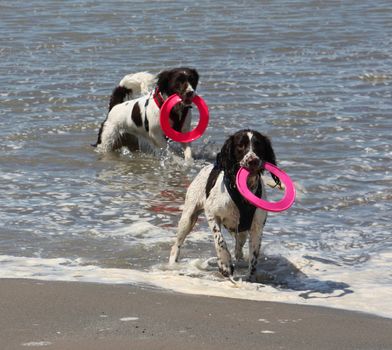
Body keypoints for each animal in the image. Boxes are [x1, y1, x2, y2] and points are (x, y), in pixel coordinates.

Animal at [170, 130, 280, 280]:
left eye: (259, 145)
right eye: (240, 146)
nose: (252, 161)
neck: (241, 193)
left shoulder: (257, 226)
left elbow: (254, 257)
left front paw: (250, 278)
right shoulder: (212, 214)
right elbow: (220, 240)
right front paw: (225, 264)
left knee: (240, 243)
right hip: (188, 218)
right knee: (176, 245)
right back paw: (172, 264)